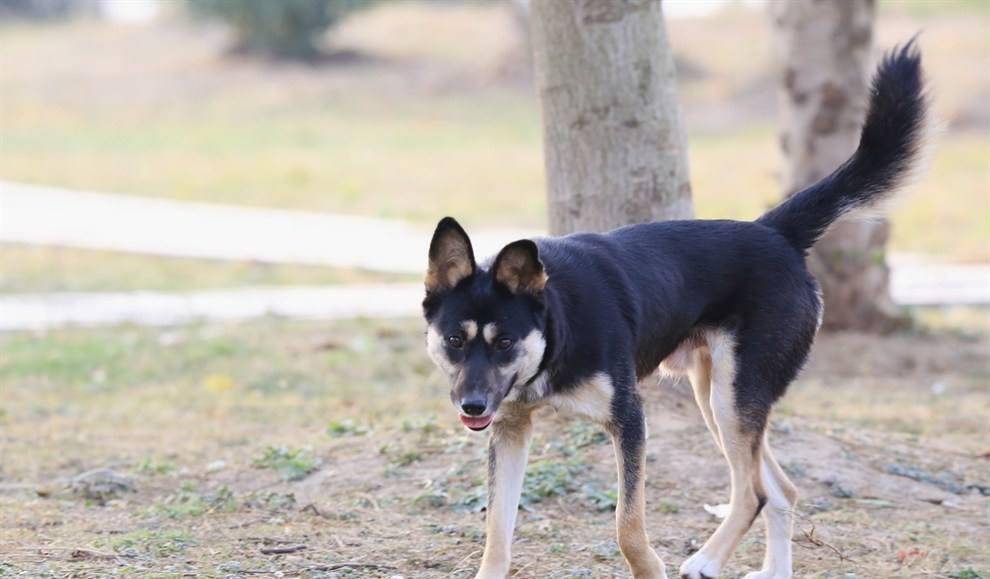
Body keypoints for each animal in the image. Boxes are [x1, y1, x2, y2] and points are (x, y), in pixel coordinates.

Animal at [420, 43, 928, 576]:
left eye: (504, 342)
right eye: (454, 341)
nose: (472, 406)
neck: (558, 324)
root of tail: (775, 232)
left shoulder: (629, 420)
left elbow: (627, 524)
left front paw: (648, 567)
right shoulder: (511, 429)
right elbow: (497, 529)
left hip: (733, 397)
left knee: (753, 494)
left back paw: (707, 559)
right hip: (718, 399)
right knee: (780, 489)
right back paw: (772, 568)